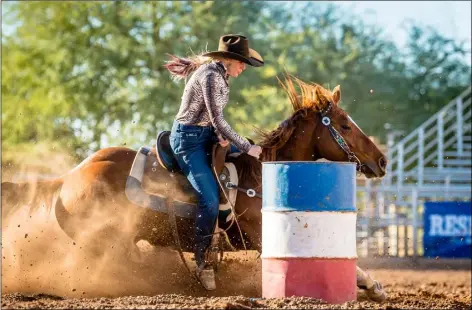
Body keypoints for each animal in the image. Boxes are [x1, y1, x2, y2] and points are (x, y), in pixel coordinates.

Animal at [2, 76, 388, 302]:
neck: (257, 176)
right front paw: (371, 285)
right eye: (344, 124)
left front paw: (375, 287)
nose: (382, 160)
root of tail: (67, 179)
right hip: (108, 241)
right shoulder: (263, 237)